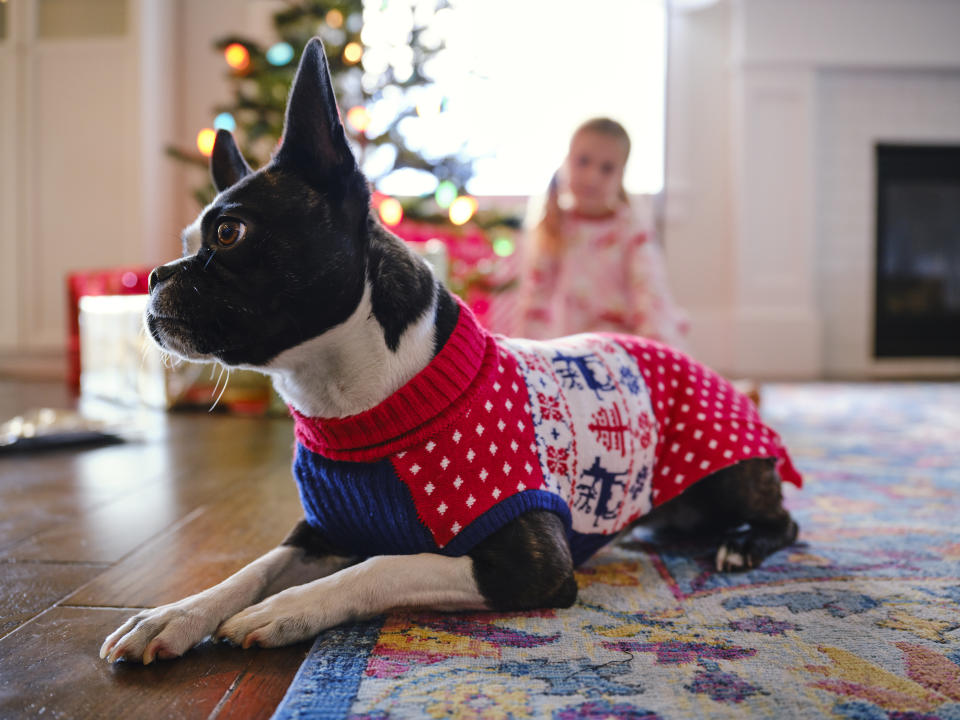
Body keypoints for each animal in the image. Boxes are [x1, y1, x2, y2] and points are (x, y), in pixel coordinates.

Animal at [101, 39, 800, 664]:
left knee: (783, 521)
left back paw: (741, 543)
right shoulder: (319, 533)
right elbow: (252, 568)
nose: (154, 275)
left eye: (229, 232)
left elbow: (381, 564)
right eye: (188, 241)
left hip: (729, 476)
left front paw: (284, 610)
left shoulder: (531, 564)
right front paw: (174, 614)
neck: (352, 399)